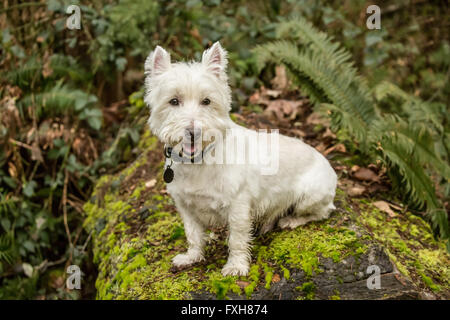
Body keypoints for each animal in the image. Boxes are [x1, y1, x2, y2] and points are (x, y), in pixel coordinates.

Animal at [144, 42, 338, 278]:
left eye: (206, 101)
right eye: (173, 101)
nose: (193, 132)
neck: (199, 161)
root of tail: (330, 166)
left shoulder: (238, 205)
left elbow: (236, 239)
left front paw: (236, 266)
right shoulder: (185, 206)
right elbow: (193, 234)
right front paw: (192, 257)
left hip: (309, 195)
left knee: (322, 212)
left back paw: (291, 220)